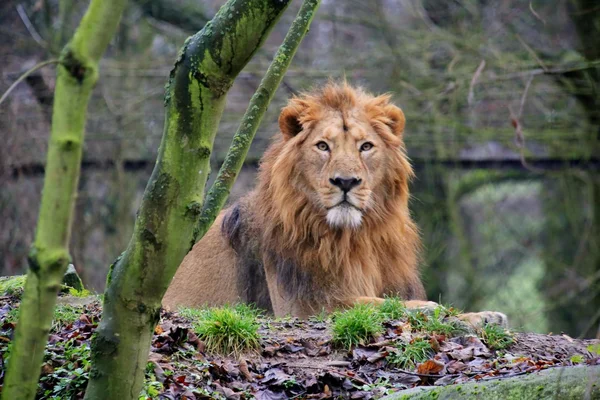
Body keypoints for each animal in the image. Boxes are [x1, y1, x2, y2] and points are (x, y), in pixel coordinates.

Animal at [163, 82, 506, 328]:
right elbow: (377, 304)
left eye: (365, 146)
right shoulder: (303, 305)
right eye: (322, 146)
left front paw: (483, 316)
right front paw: (428, 308)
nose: (346, 182)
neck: (355, 238)